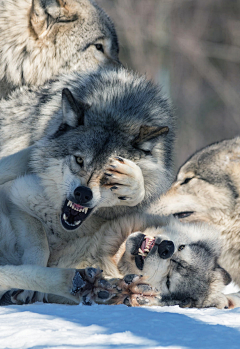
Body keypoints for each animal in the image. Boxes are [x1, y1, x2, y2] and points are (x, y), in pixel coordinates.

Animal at [0, 66, 174, 304]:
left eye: (108, 176)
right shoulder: (17, 194)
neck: (115, 115)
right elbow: (39, 243)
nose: (82, 193)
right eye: (79, 160)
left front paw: (132, 183)